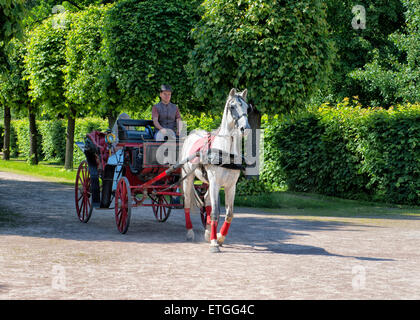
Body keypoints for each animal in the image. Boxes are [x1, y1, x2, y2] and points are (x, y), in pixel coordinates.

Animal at [180, 88, 249, 252]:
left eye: (247, 107)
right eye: (232, 107)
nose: (245, 128)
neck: (226, 152)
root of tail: (192, 133)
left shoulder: (231, 186)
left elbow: (229, 214)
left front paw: (219, 237)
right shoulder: (216, 183)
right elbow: (216, 213)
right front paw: (214, 242)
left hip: (208, 183)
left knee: (206, 201)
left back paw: (207, 231)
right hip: (188, 178)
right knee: (187, 203)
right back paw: (190, 232)